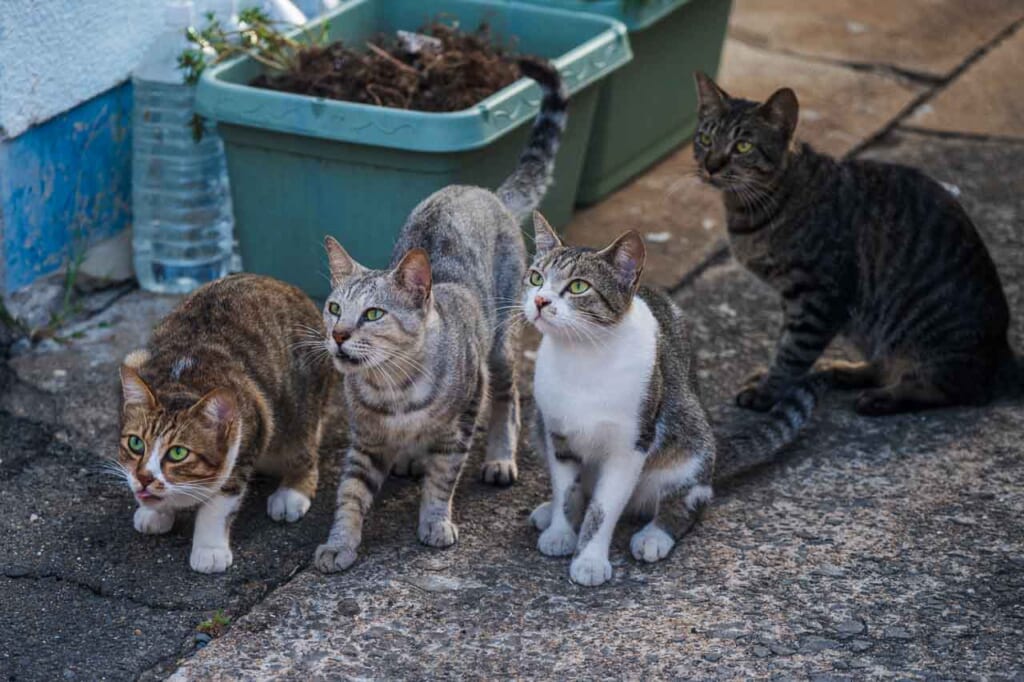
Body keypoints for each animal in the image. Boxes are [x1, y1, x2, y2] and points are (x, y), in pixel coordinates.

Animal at [116, 274, 333, 569]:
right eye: (136, 444)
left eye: (178, 453)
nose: (144, 478)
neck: (180, 378)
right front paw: (155, 512)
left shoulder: (250, 426)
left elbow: (220, 501)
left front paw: (209, 549)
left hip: (300, 404)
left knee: (304, 448)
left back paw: (292, 492)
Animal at [313, 58, 569, 569]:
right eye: (334, 308)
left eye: (373, 314)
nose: (338, 335)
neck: (393, 390)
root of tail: (482, 191)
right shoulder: (364, 441)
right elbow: (349, 494)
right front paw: (340, 543)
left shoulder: (461, 420)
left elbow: (442, 478)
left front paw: (434, 522)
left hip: (498, 349)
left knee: (508, 398)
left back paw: (499, 458)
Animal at [524, 212, 827, 585]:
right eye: (536, 278)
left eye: (579, 286)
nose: (539, 301)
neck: (581, 357)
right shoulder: (558, 435)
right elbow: (566, 490)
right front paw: (561, 530)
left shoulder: (632, 444)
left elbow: (603, 508)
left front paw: (590, 559)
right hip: (537, 423)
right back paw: (549, 512)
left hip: (690, 438)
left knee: (694, 496)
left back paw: (657, 534)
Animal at [692, 73, 1011, 413]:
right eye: (706, 139)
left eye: (743, 146)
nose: (711, 165)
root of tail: (1004, 355)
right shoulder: (794, 297)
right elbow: (783, 342)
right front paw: (769, 378)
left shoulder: (817, 295)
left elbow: (792, 351)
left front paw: (768, 390)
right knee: (886, 364)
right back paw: (846, 370)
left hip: (932, 341)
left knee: (950, 389)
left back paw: (884, 397)